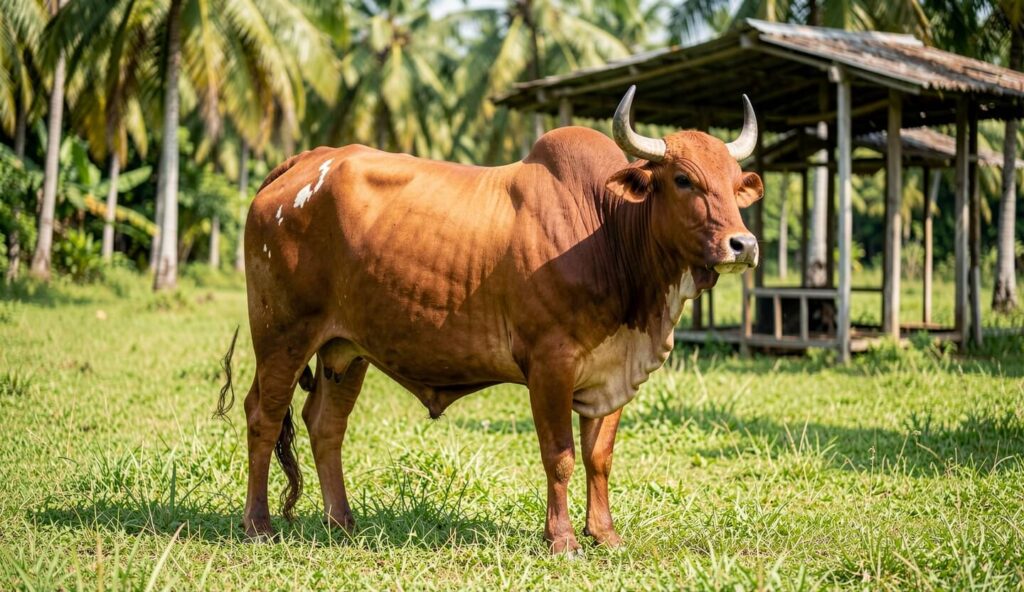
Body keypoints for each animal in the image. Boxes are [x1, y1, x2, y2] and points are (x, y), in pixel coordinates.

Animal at [219, 86, 763, 555]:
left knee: (326, 423)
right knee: (263, 416)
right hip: (282, 335)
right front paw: (562, 540)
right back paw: (259, 525)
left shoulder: (612, 371)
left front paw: (605, 534)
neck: (606, 228)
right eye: (683, 179)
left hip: (345, 349)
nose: (744, 244)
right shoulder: (550, 364)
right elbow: (560, 455)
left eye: (736, 184)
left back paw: (342, 522)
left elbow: (598, 457)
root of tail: (304, 164)